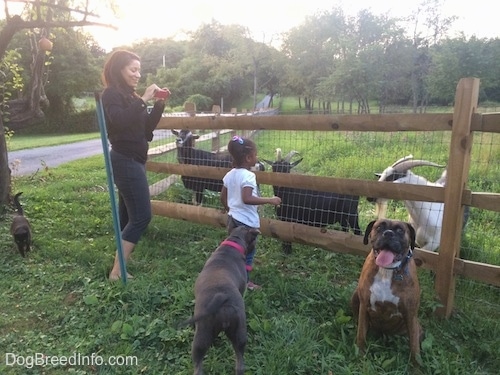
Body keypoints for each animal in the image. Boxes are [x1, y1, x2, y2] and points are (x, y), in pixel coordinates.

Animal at [180, 226, 260, 375]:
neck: (234, 242)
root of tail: (222, 298)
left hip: (202, 336)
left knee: (198, 365)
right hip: (239, 333)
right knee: (239, 362)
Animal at [352, 219, 422, 366]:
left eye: (400, 230)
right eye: (379, 227)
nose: (388, 233)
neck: (387, 270)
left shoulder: (411, 314)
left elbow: (414, 348)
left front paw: (416, 367)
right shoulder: (364, 306)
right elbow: (361, 333)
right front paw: (360, 354)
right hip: (355, 296)